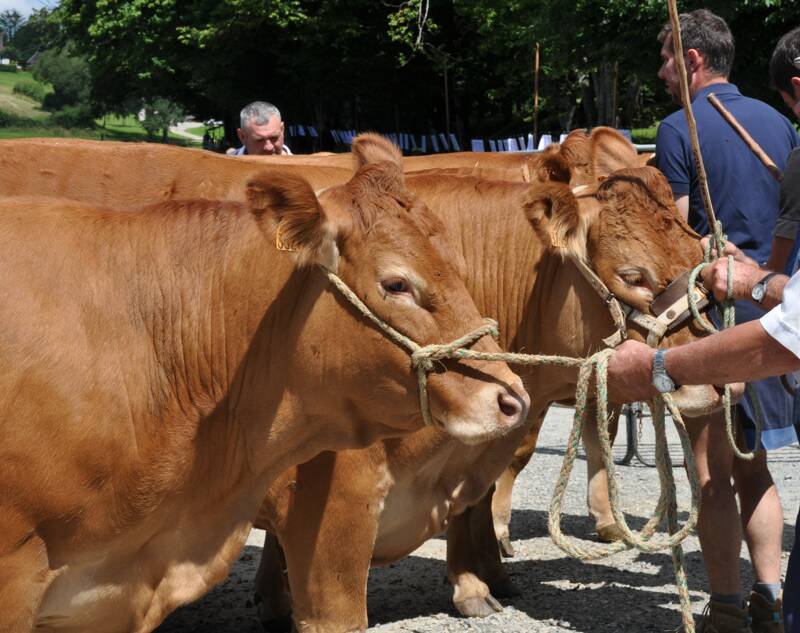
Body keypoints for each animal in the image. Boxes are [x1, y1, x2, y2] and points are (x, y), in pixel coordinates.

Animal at [250, 165, 732, 628]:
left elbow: (473, 506)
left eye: (699, 262)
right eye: (633, 276)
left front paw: (477, 585)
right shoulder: (332, 503)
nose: (714, 381)